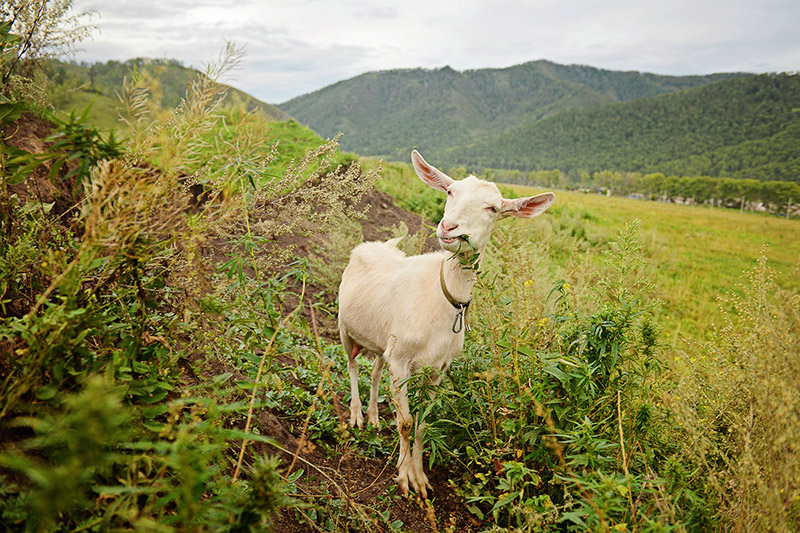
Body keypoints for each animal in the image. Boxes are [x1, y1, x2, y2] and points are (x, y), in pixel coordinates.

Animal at [334, 151, 552, 498]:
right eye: (450, 192)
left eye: (493, 208)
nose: (449, 227)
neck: (443, 297)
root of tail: (372, 245)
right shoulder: (401, 360)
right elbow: (406, 423)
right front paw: (404, 478)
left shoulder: (437, 368)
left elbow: (423, 423)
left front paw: (420, 478)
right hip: (344, 325)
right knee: (352, 364)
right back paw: (356, 415)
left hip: (382, 341)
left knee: (375, 370)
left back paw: (373, 416)